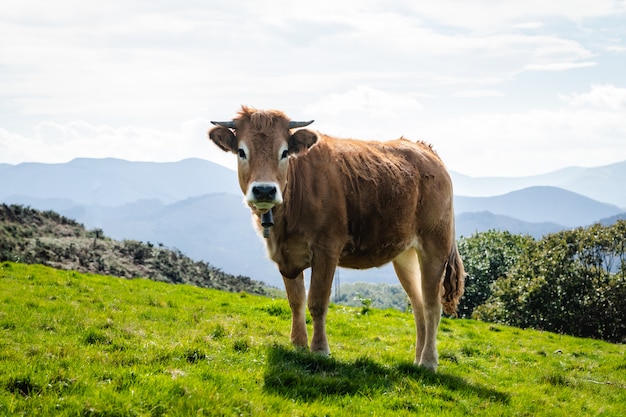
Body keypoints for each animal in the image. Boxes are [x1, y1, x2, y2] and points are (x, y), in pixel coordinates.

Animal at [210, 105, 464, 370]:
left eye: (284, 152)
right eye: (242, 152)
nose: (264, 190)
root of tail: (425, 149)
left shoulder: (327, 249)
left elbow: (317, 301)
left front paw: (320, 349)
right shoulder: (286, 256)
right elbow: (296, 300)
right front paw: (298, 345)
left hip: (435, 246)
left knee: (432, 305)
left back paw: (428, 362)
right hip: (405, 254)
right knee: (418, 304)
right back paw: (416, 361)